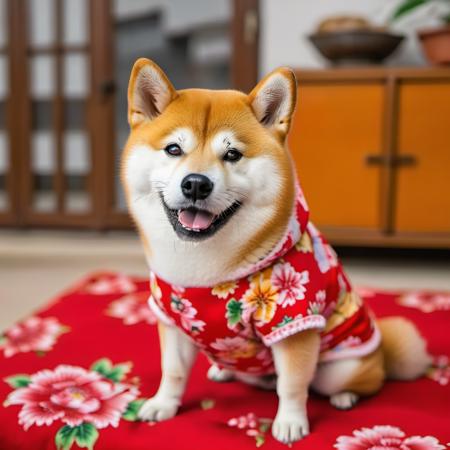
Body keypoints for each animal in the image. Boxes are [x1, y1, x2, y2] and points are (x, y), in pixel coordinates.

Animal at [121, 59, 430, 442]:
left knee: (361, 380)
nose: (195, 184)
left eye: (232, 154)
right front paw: (163, 405)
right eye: (174, 149)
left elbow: (293, 385)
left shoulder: (294, 322)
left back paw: (345, 396)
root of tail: (381, 350)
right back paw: (223, 370)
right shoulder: (172, 317)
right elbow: (174, 371)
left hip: (342, 365)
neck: (208, 272)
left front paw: (291, 422)